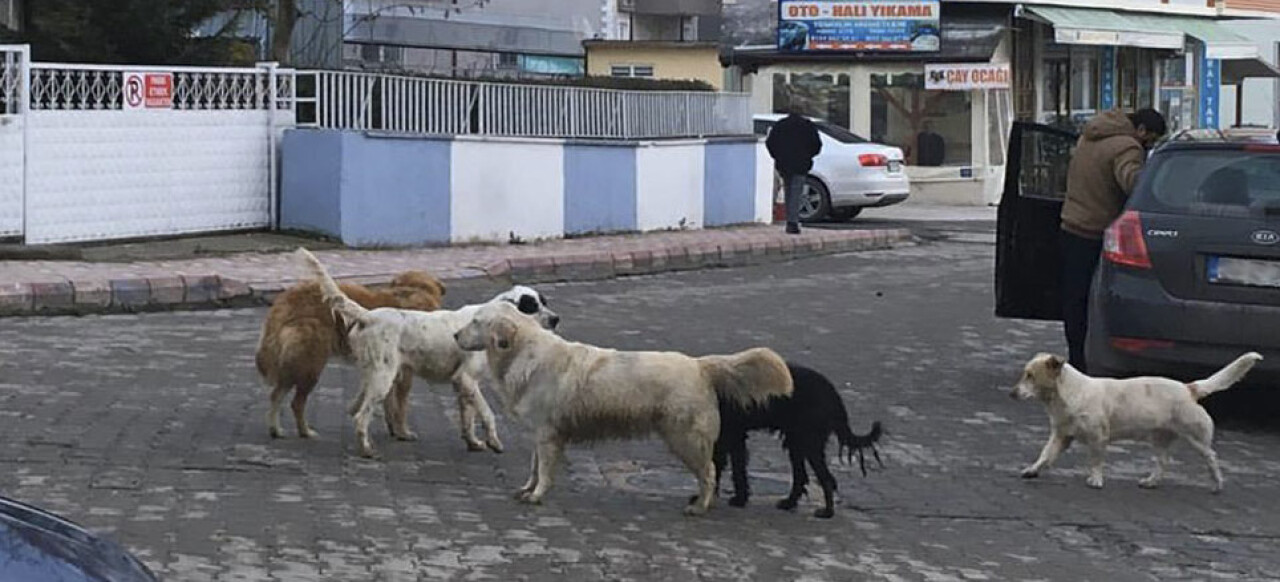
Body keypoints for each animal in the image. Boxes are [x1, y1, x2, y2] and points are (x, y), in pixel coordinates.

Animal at [254, 271, 445, 440]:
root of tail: (286, 299)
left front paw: (393, 429)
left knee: (276, 395)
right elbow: (401, 407)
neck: (415, 290)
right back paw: (305, 432)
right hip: (311, 364)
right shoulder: (404, 374)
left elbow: (388, 403)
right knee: (296, 403)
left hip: (295, 364)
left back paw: (276, 430)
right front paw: (403, 432)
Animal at [450, 300, 788, 514]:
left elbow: (544, 471)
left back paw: (699, 507)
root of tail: (700, 365)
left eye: (476, 322)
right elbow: (534, 469)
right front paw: (526, 489)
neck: (524, 351)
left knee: (710, 472)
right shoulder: (539, 434)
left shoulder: (547, 435)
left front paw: (537, 495)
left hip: (685, 439)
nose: (454, 335)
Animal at [711, 363, 880, 519]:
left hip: (809, 443)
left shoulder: (733, 436)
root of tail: (833, 394)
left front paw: (738, 499)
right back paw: (790, 503)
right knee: (802, 477)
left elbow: (735, 469)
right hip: (796, 442)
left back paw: (826, 512)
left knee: (825, 479)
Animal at [1013, 350, 1264, 491]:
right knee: (1163, 462)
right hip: (1159, 439)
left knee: (1211, 457)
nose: (1011, 393)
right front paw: (1032, 470)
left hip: (1196, 439)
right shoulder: (1061, 436)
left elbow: (1096, 460)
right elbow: (1045, 456)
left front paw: (1096, 480)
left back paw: (1217, 484)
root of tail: (1189, 388)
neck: (1069, 395)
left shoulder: (1098, 437)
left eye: (1030, 376)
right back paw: (1150, 482)